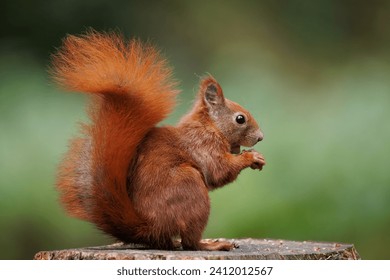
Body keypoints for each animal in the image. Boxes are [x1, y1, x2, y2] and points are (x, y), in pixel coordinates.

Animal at [51, 30, 266, 252]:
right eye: (240, 119)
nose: (260, 137)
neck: (210, 126)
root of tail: (149, 227)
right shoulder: (203, 145)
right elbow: (219, 169)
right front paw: (251, 158)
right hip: (191, 188)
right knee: (190, 243)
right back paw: (211, 244)